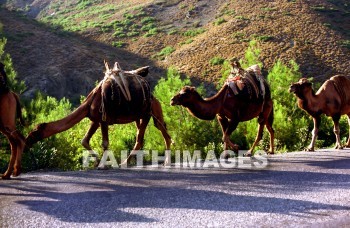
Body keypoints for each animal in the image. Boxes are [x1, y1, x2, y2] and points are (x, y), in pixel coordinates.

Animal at [26, 61, 172, 166]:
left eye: (34, 132)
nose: (26, 142)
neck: (88, 104)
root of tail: (153, 97)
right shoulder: (95, 119)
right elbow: (84, 140)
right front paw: (97, 162)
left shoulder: (103, 119)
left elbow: (105, 143)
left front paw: (104, 165)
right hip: (145, 115)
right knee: (155, 132)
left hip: (147, 113)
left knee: (145, 138)